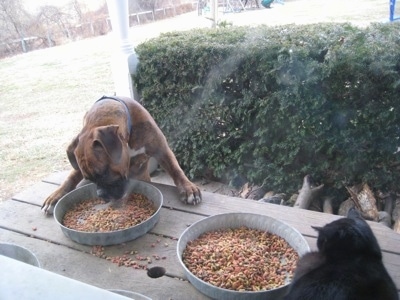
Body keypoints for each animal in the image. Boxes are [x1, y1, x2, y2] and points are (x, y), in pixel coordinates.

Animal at [42, 95, 202, 214]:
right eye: (90, 179)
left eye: (104, 172)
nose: (101, 194)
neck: (127, 137)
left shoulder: (161, 150)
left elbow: (176, 170)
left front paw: (188, 189)